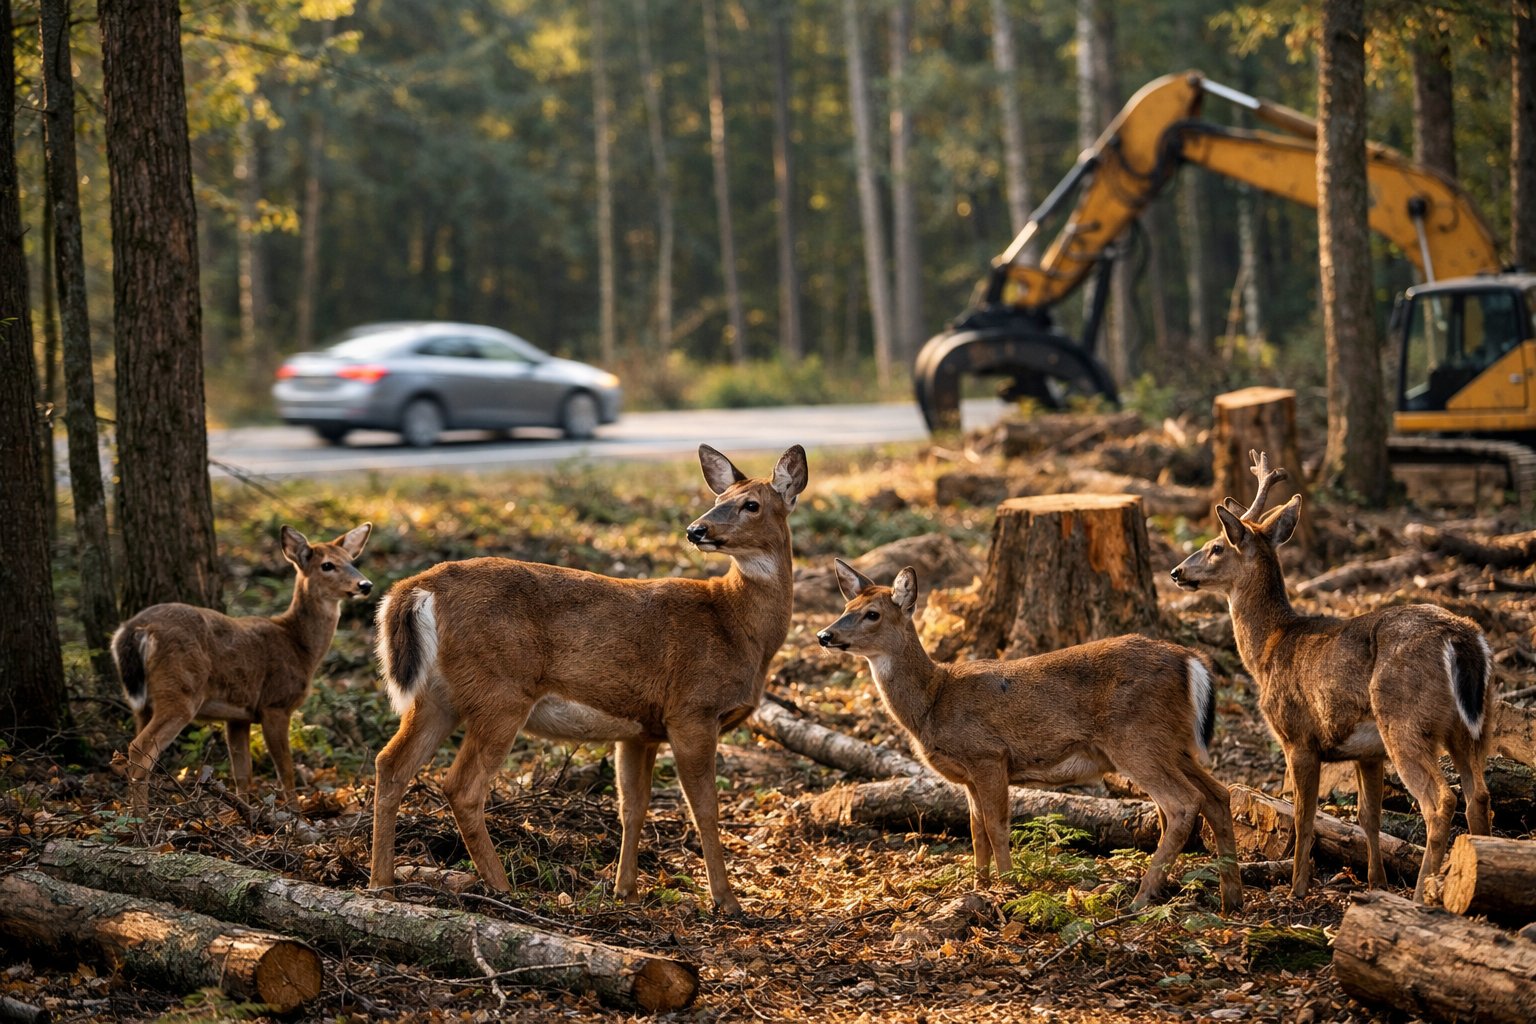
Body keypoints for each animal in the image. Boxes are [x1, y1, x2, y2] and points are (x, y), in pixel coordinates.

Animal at [113, 523, 373, 817]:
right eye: (327, 565)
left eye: (351, 561)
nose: (365, 585)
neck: (299, 647)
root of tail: (135, 629)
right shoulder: (275, 704)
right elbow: (286, 771)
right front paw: (295, 816)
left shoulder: (238, 717)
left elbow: (243, 776)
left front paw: (241, 815)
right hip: (180, 691)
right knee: (139, 749)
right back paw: (141, 820)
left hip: (141, 702)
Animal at [369, 444, 808, 916]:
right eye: (719, 497)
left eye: (751, 504)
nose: (697, 529)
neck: (737, 625)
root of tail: (418, 589)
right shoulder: (692, 709)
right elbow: (705, 808)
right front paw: (726, 900)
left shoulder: (641, 730)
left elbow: (633, 806)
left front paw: (625, 891)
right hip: (500, 691)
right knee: (462, 786)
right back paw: (504, 889)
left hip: (437, 696)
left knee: (390, 764)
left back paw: (381, 885)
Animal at [817, 560, 1244, 914]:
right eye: (845, 608)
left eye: (872, 614)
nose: (824, 635)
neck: (932, 701)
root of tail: (1191, 661)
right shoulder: (968, 775)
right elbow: (975, 830)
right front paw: (978, 885)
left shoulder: (988, 754)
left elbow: (996, 825)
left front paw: (1007, 887)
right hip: (1173, 744)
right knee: (1219, 795)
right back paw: (1231, 898)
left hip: (1135, 738)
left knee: (1183, 803)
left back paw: (1141, 898)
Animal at [1170, 451, 1493, 900]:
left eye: (1216, 547)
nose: (1177, 572)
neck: (1268, 650)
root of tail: (1461, 638)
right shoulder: (1368, 751)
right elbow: (1368, 816)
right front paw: (1376, 882)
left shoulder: (1297, 736)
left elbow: (1303, 817)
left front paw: (1296, 889)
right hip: (1473, 727)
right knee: (1479, 794)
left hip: (1405, 719)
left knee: (1442, 799)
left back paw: (1422, 891)